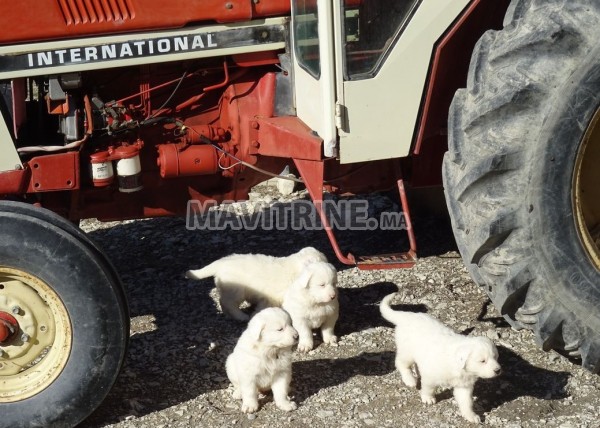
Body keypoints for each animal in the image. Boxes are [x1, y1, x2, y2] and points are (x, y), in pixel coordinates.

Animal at [188, 246, 328, 320]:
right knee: (228, 303)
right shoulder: (272, 297)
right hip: (235, 290)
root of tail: (221, 262)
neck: (297, 268)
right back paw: (241, 316)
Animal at [380, 292, 502, 422]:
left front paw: (471, 415)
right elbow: (428, 388)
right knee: (401, 363)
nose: (498, 370)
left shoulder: (463, 385)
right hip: (407, 351)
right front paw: (428, 398)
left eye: (495, 357)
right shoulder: (431, 376)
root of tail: (407, 316)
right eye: (482, 361)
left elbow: (466, 402)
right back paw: (410, 380)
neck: (457, 365)